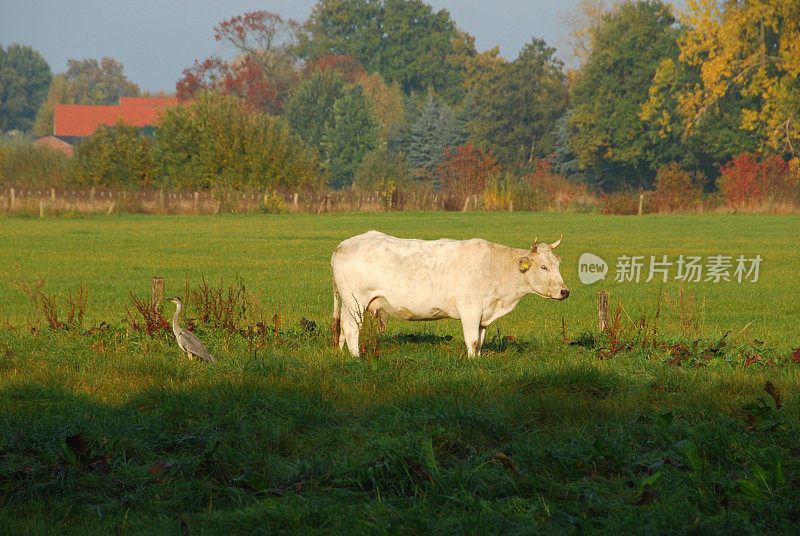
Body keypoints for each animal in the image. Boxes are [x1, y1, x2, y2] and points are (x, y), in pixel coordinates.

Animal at [332, 229, 568, 356]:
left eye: (557, 265)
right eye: (544, 267)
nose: (564, 291)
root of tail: (342, 245)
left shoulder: (484, 313)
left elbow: (480, 341)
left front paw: (477, 360)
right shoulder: (470, 309)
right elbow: (472, 340)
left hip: (348, 304)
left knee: (342, 328)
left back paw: (342, 355)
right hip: (356, 302)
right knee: (352, 329)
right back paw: (356, 358)